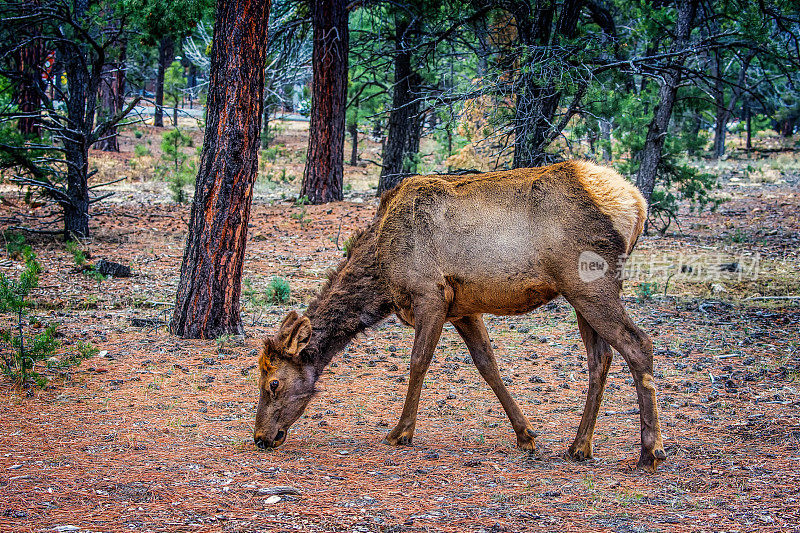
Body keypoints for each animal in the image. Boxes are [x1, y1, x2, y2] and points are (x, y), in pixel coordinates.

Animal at [256, 161, 668, 470]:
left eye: (272, 383)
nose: (260, 437)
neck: (381, 275)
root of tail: (637, 204)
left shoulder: (430, 295)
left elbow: (418, 361)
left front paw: (401, 431)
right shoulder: (463, 309)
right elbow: (488, 365)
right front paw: (526, 435)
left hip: (590, 284)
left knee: (639, 343)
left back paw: (651, 451)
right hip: (580, 294)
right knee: (601, 358)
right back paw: (580, 446)